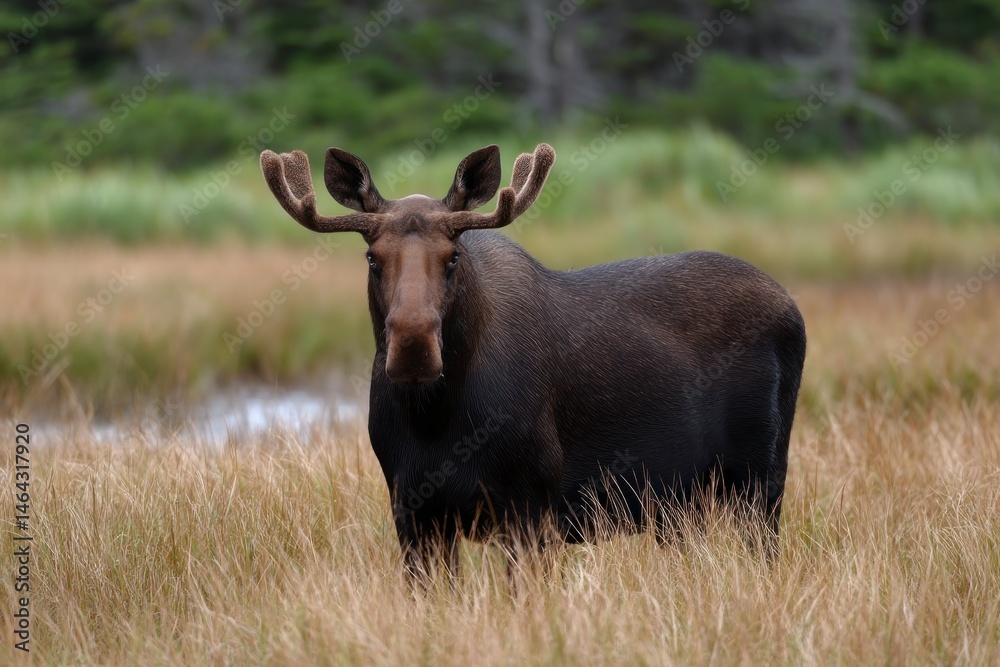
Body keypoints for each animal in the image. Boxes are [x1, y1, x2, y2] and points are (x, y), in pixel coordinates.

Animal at [259, 142, 807, 582]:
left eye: (453, 256)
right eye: (373, 258)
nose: (414, 346)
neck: (436, 418)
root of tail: (792, 308)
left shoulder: (532, 506)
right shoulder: (412, 510)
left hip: (762, 480)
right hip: (682, 506)